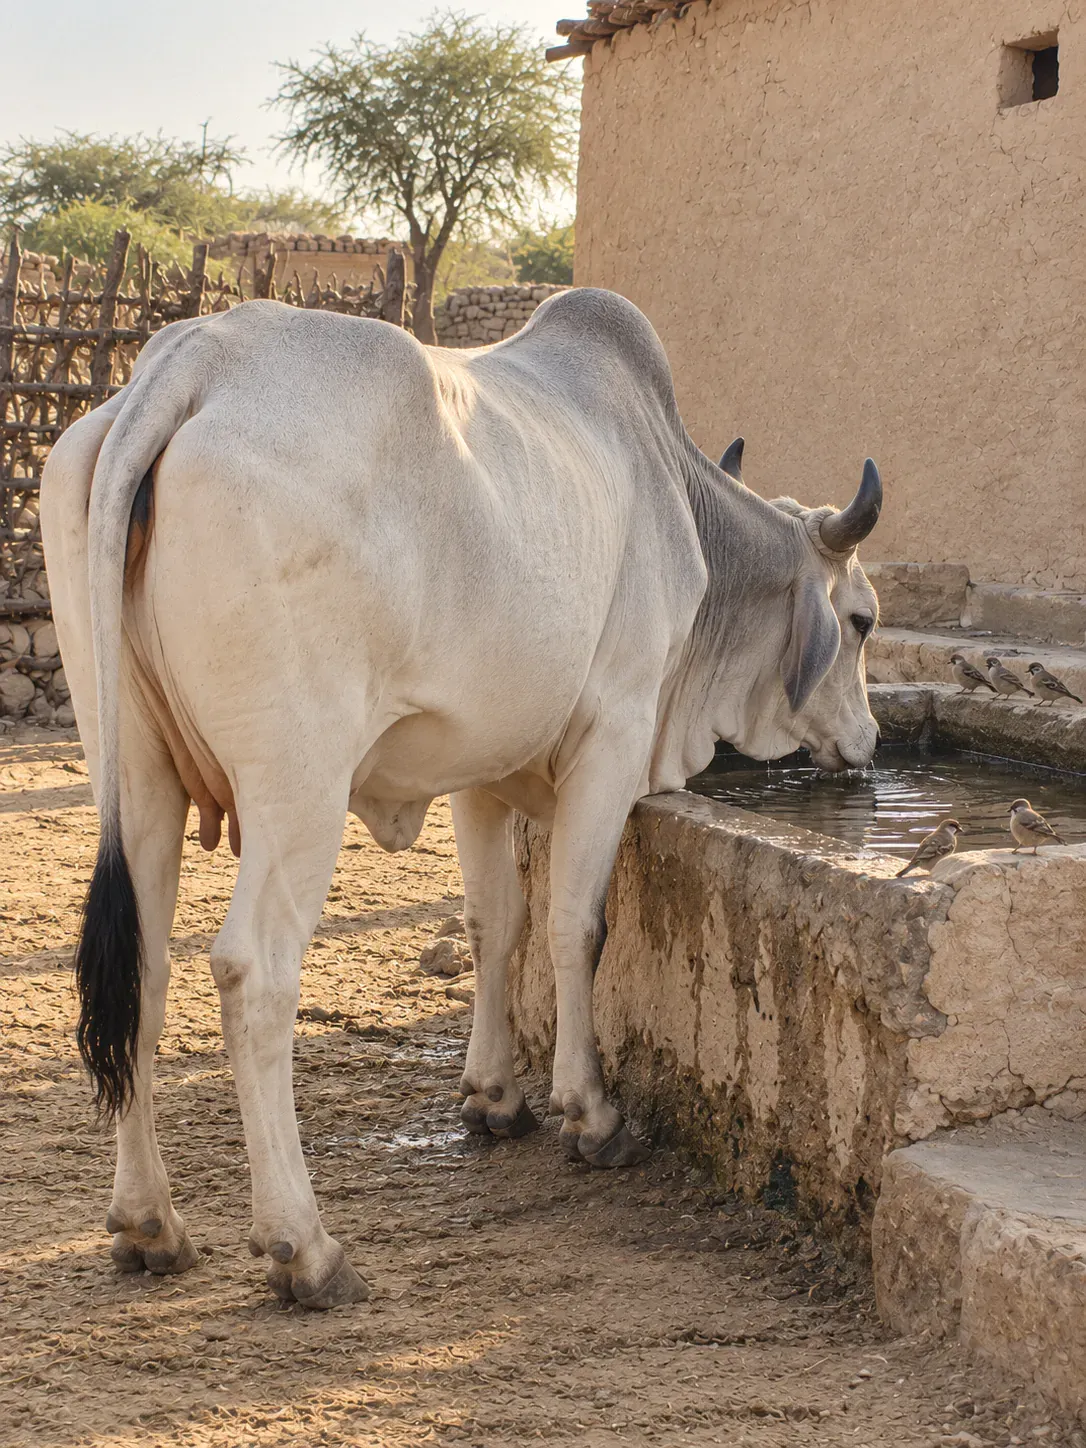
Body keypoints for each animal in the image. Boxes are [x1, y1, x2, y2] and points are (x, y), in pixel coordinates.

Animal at [40, 288, 881, 1309]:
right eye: (861, 621)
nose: (871, 743)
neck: (679, 501)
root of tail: (192, 360)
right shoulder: (614, 733)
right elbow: (575, 925)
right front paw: (590, 1113)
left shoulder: (480, 766)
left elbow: (495, 924)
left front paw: (494, 1096)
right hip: (298, 782)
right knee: (252, 973)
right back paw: (305, 1247)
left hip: (134, 773)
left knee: (143, 969)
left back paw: (150, 1223)